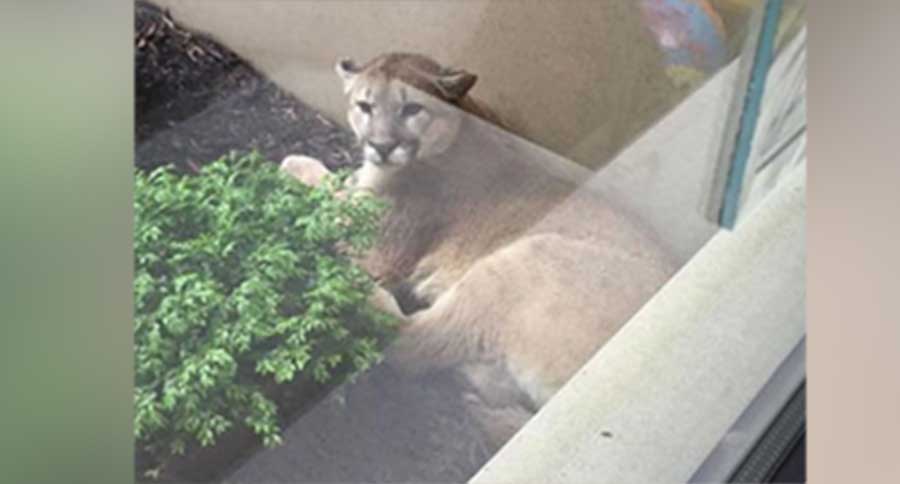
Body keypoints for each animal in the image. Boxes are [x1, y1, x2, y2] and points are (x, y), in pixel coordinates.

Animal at [285, 52, 675, 409]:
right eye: (364, 106)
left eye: (411, 108)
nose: (380, 146)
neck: (463, 124)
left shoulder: (379, 251)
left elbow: (329, 203)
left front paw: (296, 165)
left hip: (520, 262)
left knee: (410, 343)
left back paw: (349, 286)